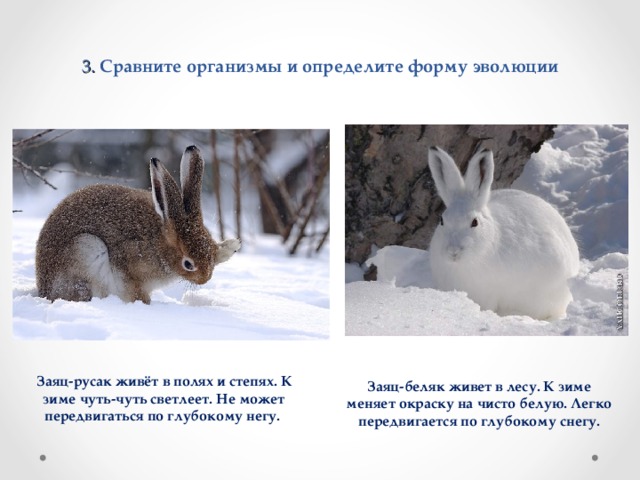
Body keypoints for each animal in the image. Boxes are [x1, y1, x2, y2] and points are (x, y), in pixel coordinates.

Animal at [35, 145, 241, 304]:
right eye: (188, 264)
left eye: (210, 256)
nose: (205, 279)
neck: (160, 244)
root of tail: (43, 288)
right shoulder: (127, 265)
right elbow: (133, 290)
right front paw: (145, 303)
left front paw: (231, 246)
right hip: (86, 248)